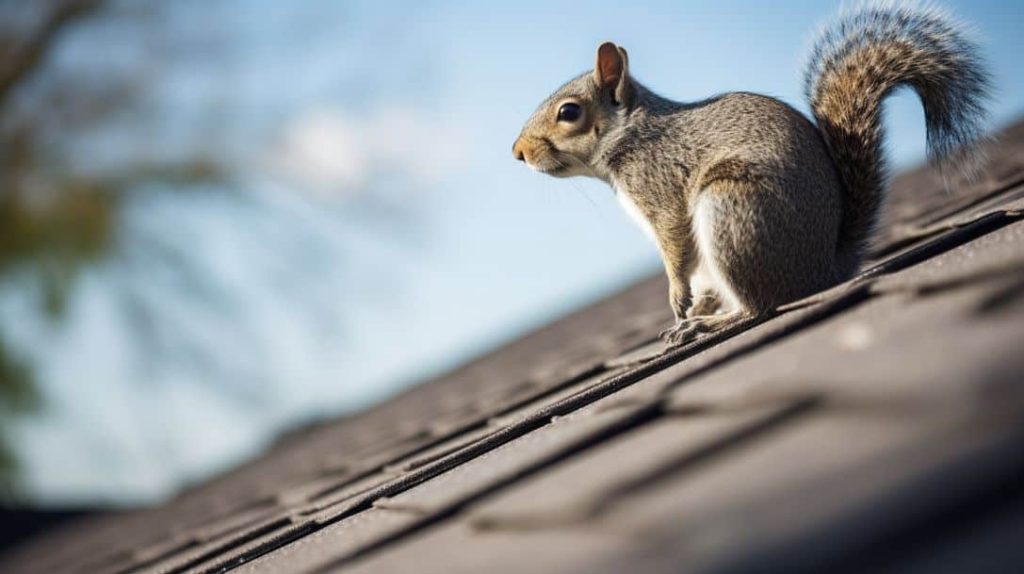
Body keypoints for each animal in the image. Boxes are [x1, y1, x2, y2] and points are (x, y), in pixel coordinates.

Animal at [512, 3, 991, 343]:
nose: (518, 153)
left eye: (569, 112)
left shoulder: (661, 189)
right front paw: (691, 305)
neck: (629, 137)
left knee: (759, 306)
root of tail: (822, 270)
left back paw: (710, 323)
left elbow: (675, 246)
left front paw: (679, 298)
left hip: (731, 212)